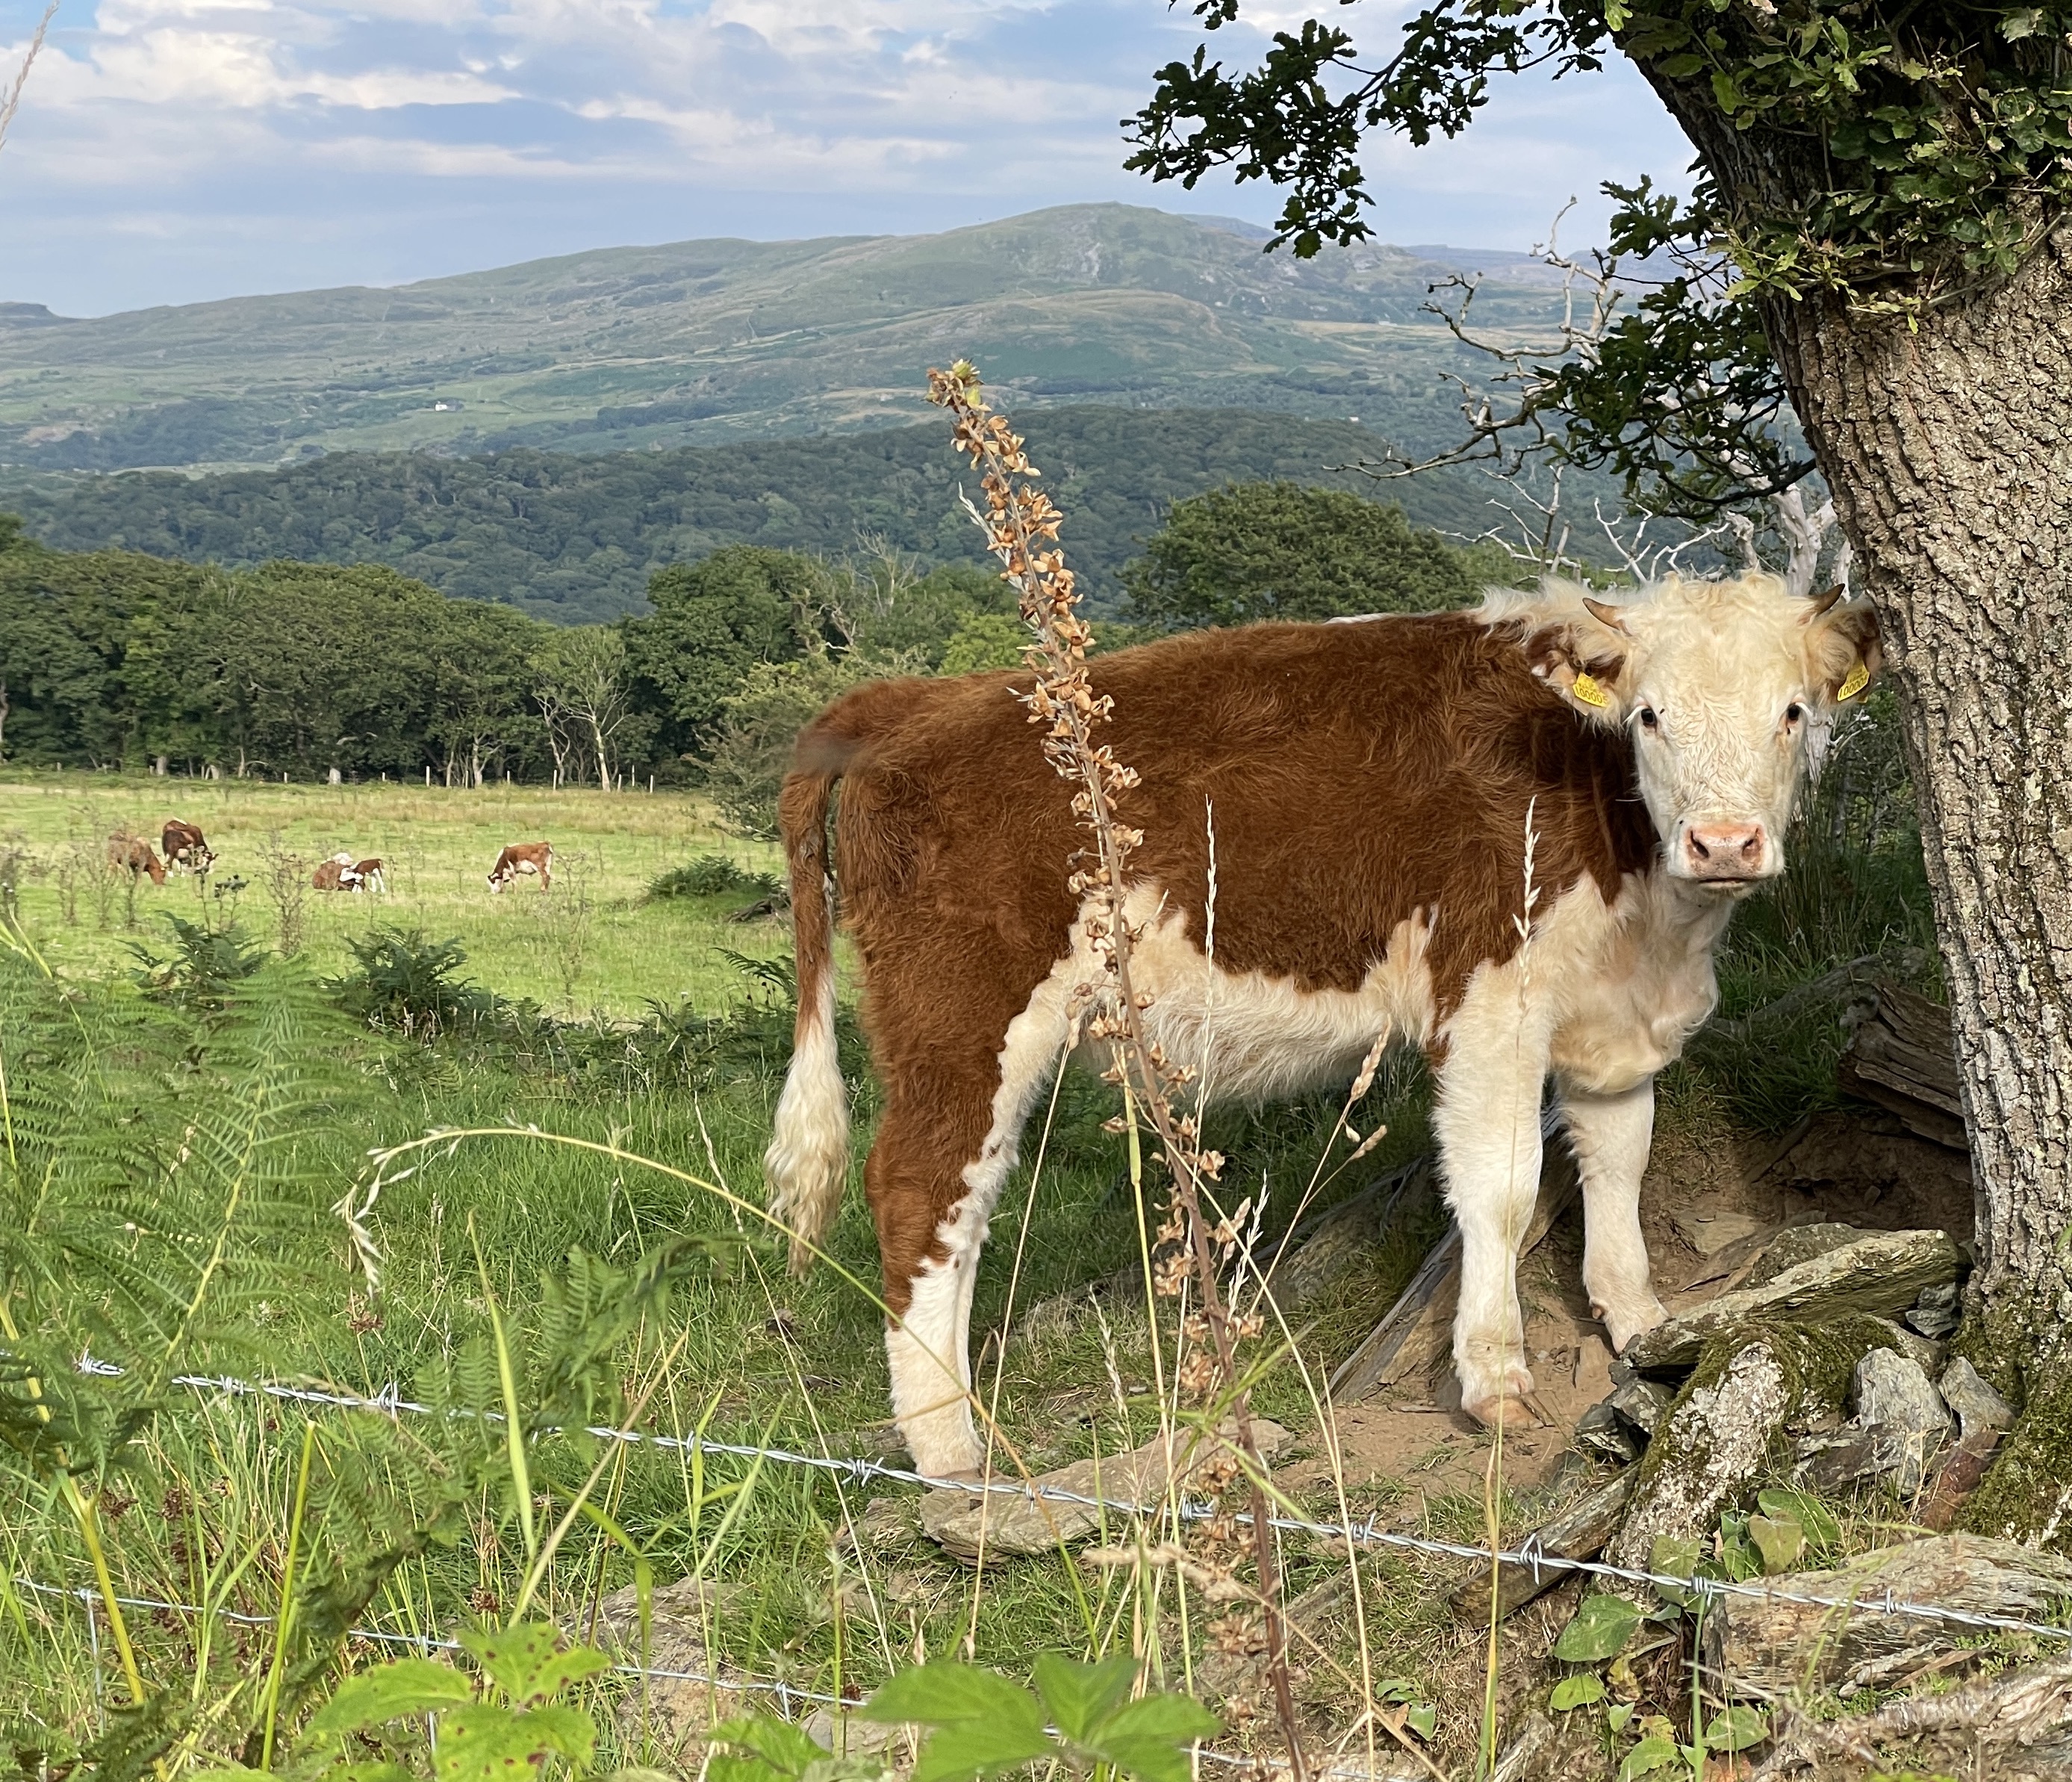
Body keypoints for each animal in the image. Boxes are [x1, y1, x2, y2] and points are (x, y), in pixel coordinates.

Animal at [761, 572, 1883, 1477]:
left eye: (1792, 711)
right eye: (1649, 716)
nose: (1723, 841)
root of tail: (916, 699)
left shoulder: (1614, 1014)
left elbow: (1618, 1162)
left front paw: (1641, 1324)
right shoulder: (1489, 1005)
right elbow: (1502, 1189)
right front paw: (1494, 1377)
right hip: (963, 1013)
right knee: (925, 1191)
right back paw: (949, 1446)